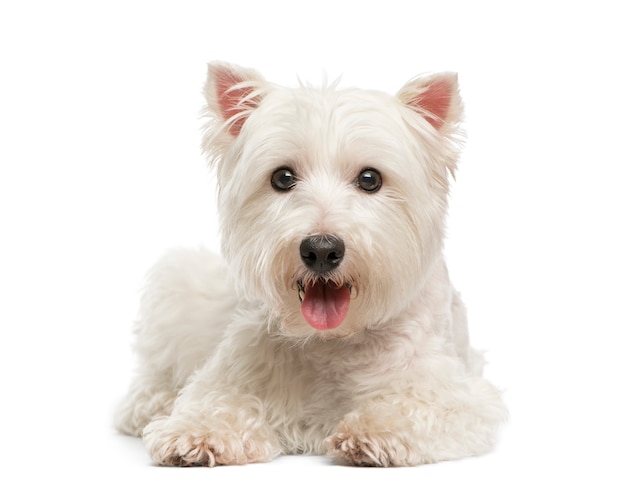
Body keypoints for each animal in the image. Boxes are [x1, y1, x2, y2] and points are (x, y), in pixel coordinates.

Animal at [116, 61, 508, 466]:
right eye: (282, 177)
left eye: (370, 178)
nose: (321, 250)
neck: (332, 341)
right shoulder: (230, 373)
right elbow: (215, 400)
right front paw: (196, 432)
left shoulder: (456, 392)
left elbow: (418, 405)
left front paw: (375, 430)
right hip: (177, 281)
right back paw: (155, 402)